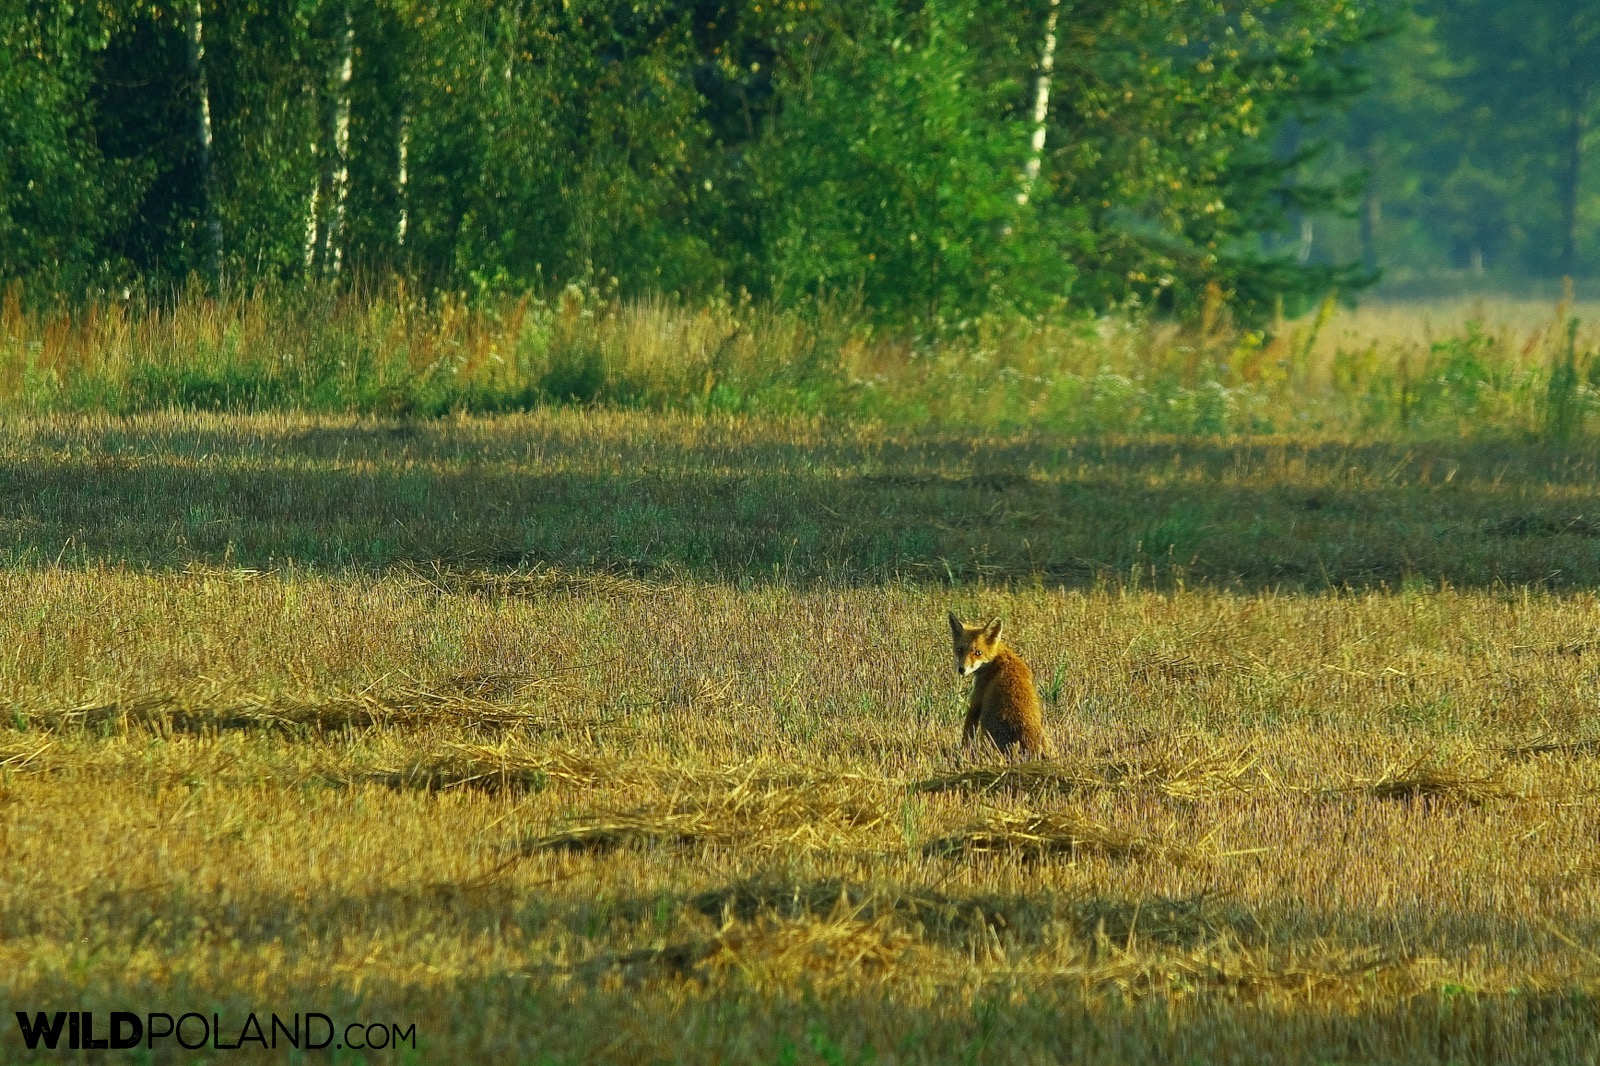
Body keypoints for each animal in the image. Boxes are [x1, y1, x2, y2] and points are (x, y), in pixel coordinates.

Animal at [947, 611, 1049, 752]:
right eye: (960, 650)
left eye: (978, 652)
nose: (962, 669)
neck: (997, 657)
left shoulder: (976, 702)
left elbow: (967, 735)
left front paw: (963, 752)